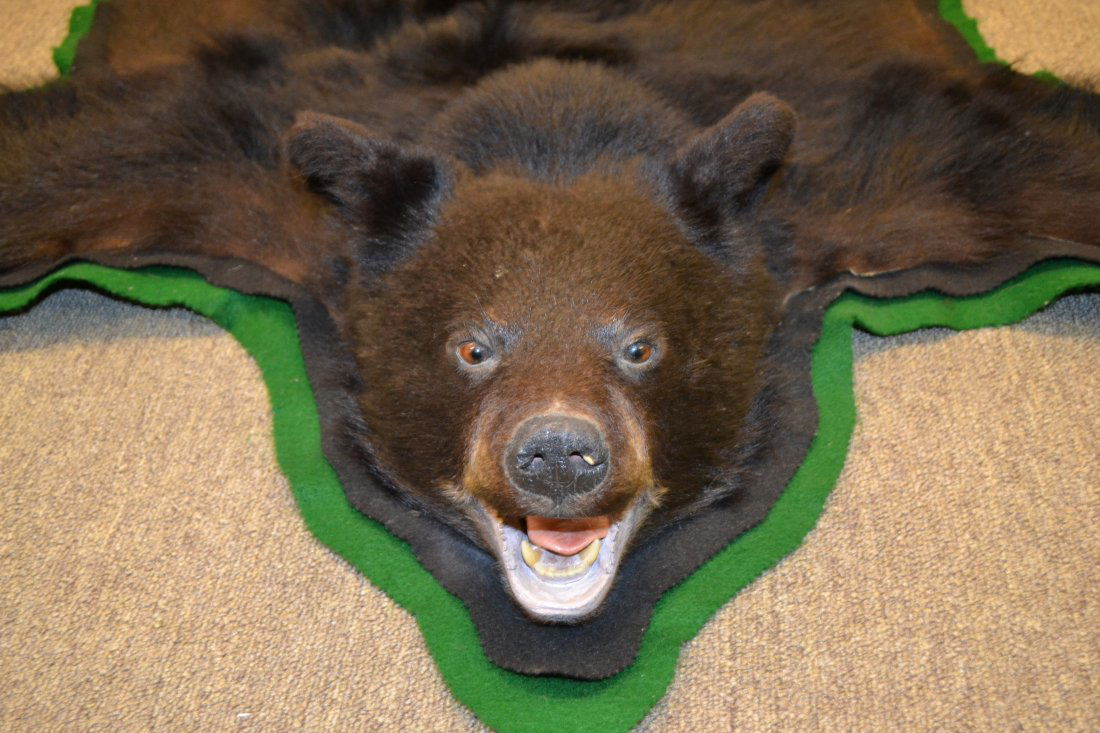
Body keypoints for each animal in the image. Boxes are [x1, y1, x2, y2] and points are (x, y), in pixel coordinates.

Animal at [1, 0, 1099, 676]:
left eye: (641, 347)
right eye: (472, 347)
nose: (560, 454)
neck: (556, 117)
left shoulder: (867, 175)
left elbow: (1032, 152)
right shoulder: (241, 167)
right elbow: (83, 152)